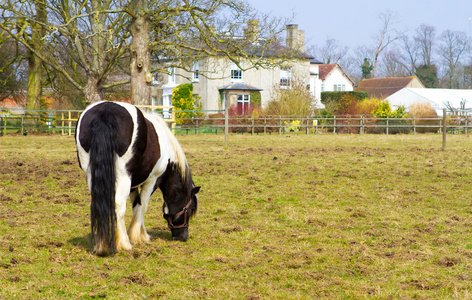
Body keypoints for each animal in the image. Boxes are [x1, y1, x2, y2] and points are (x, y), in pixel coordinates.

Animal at [75, 101, 199, 255]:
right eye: (190, 209)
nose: (181, 237)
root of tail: (105, 112)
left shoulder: (133, 185)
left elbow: (135, 205)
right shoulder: (152, 180)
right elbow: (142, 206)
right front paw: (140, 236)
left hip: (92, 175)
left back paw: (102, 245)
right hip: (123, 177)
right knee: (118, 205)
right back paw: (124, 243)